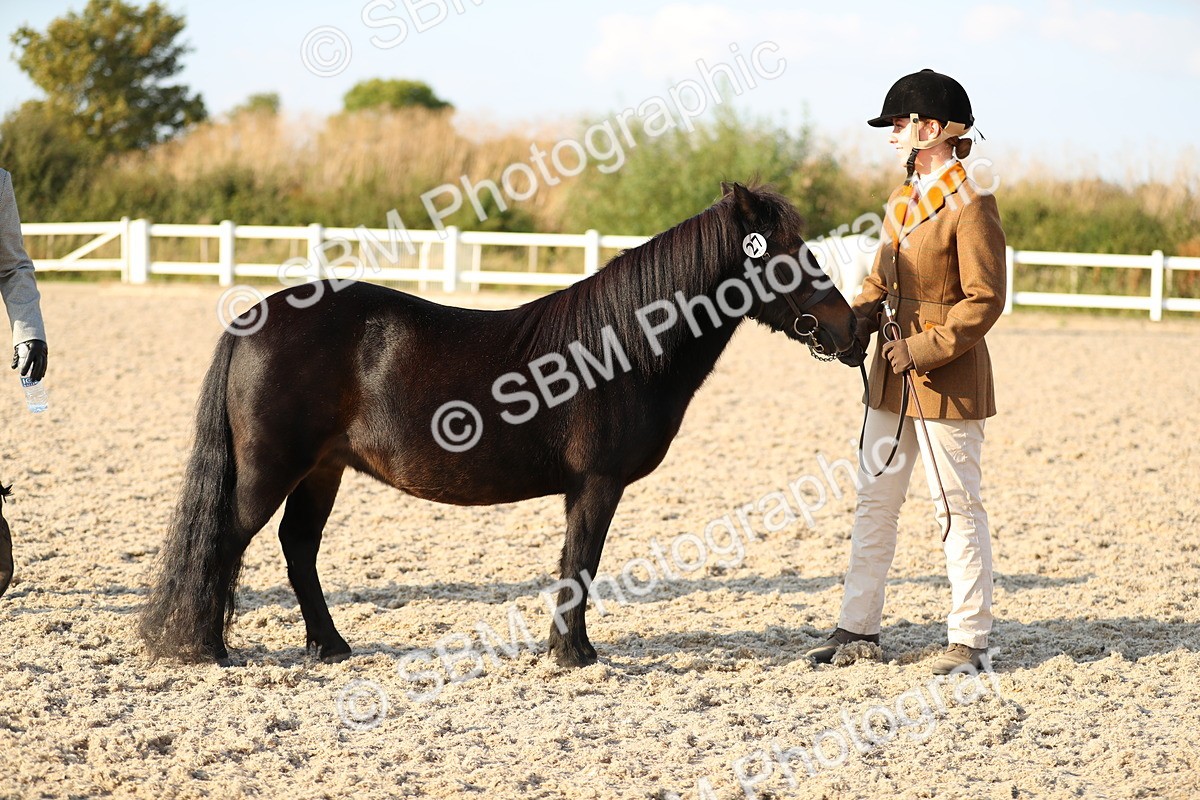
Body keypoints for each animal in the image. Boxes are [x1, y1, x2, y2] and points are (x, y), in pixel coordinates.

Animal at [139, 182, 863, 667]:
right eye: (788, 253)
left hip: (323, 470)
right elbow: (581, 563)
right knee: (225, 541)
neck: (620, 349)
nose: (854, 328)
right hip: (271, 469)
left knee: (298, 548)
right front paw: (572, 654)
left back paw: (331, 645)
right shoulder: (596, 485)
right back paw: (205, 649)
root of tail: (253, 319)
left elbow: (576, 565)